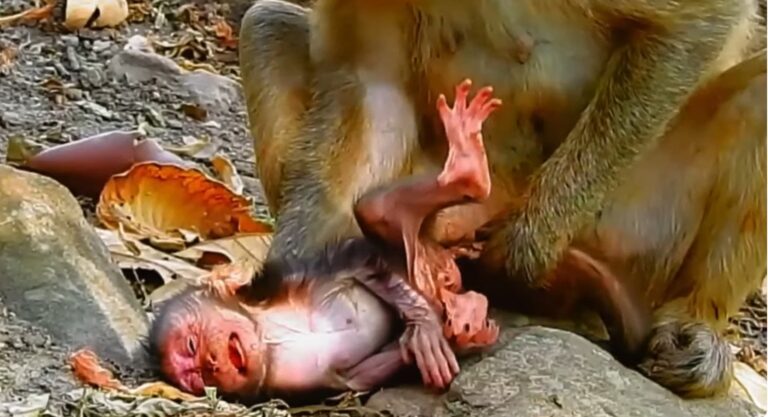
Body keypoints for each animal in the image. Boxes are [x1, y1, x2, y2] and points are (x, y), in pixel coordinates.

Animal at [239, 0, 767, 398]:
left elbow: (697, 22)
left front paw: (525, 248)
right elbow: (373, 81)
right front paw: (303, 263)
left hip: (635, 234)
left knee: (759, 92)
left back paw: (692, 326)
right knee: (266, 24)